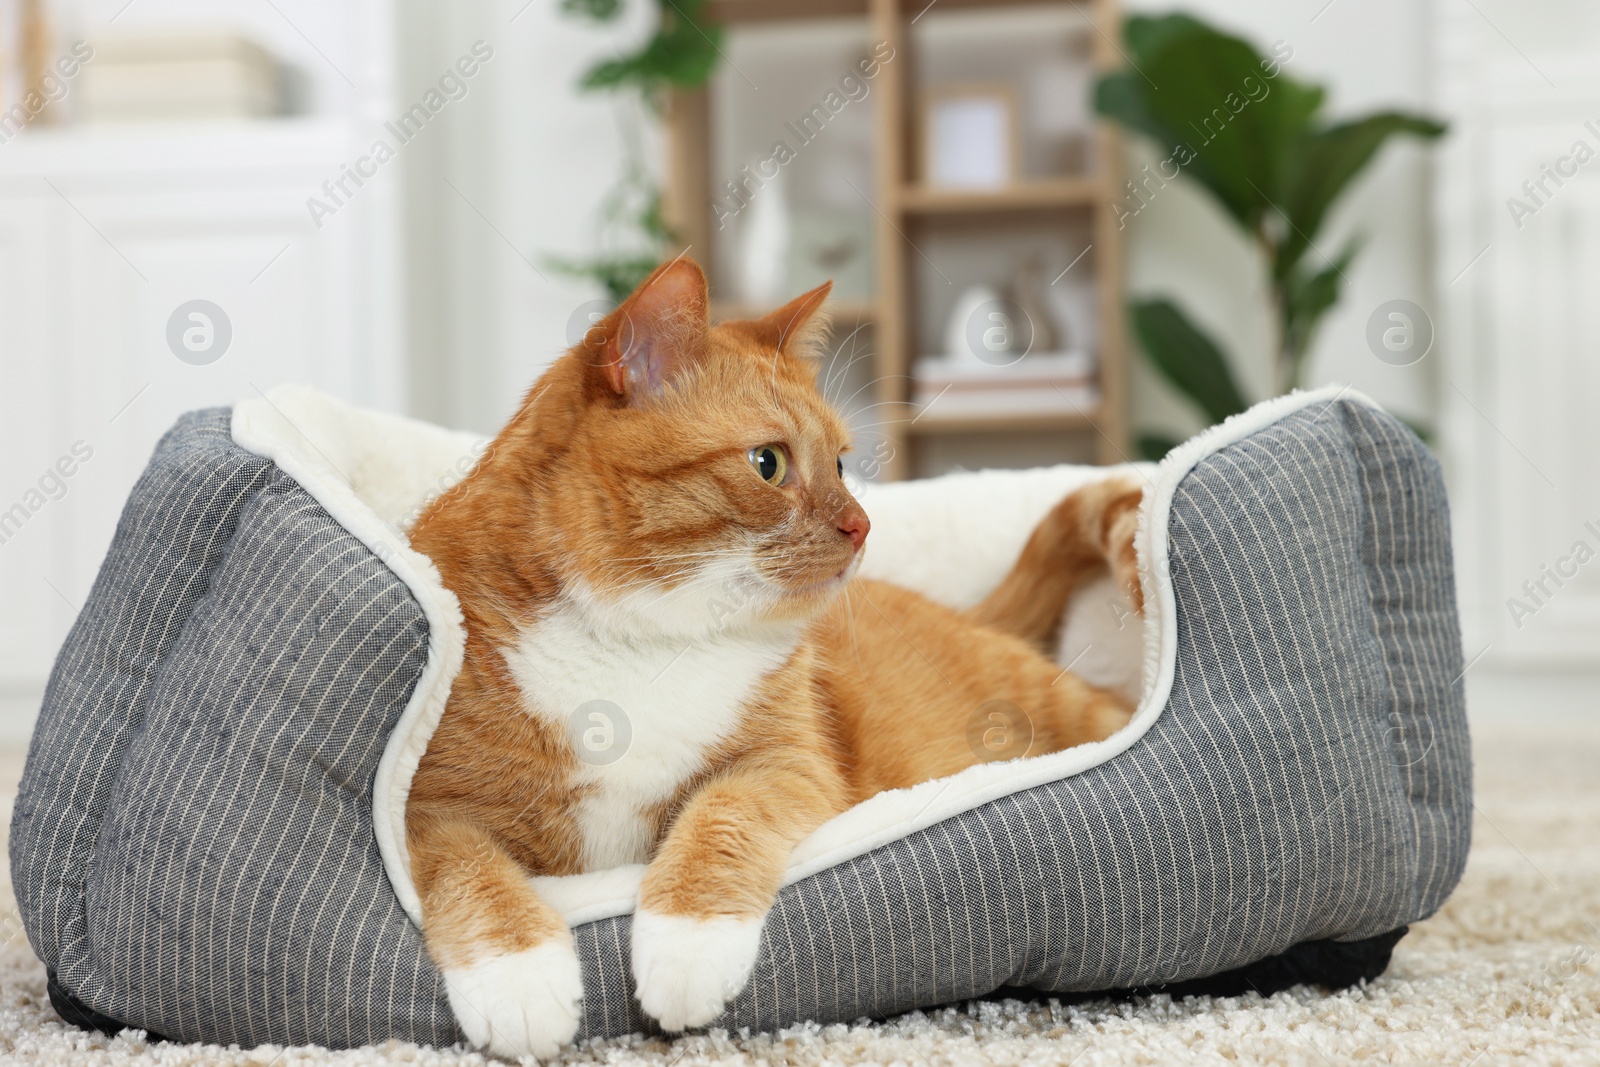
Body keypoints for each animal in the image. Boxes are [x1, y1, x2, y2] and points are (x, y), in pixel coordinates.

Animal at [406, 260, 1145, 1062]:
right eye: (770, 463)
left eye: (843, 463)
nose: (862, 525)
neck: (642, 643)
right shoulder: (423, 806)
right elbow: (466, 867)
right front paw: (518, 977)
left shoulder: (788, 761)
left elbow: (723, 812)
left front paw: (685, 943)